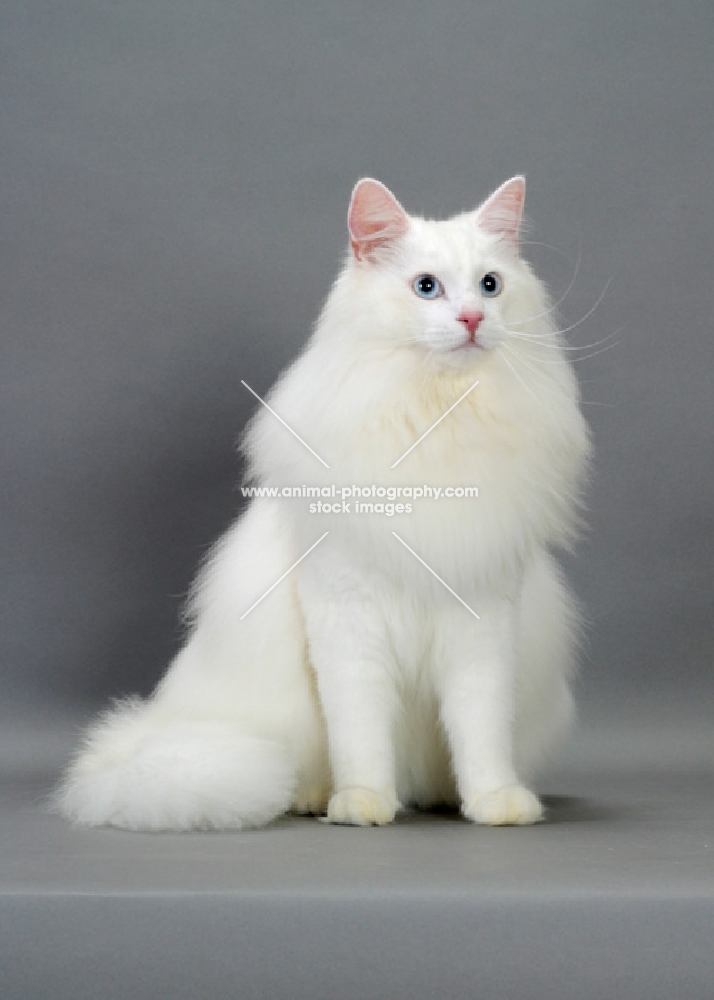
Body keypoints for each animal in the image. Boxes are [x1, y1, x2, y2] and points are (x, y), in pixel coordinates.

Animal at [54, 178, 588, 828]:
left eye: (491, 285)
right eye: (426, 287)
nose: (472, 318)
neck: (438, 418)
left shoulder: (482, 619)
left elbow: (480, 731)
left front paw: (495, 803)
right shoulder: (347, 618)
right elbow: (360, 733)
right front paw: (363, 804)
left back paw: (439, 796)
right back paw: (315, 799)